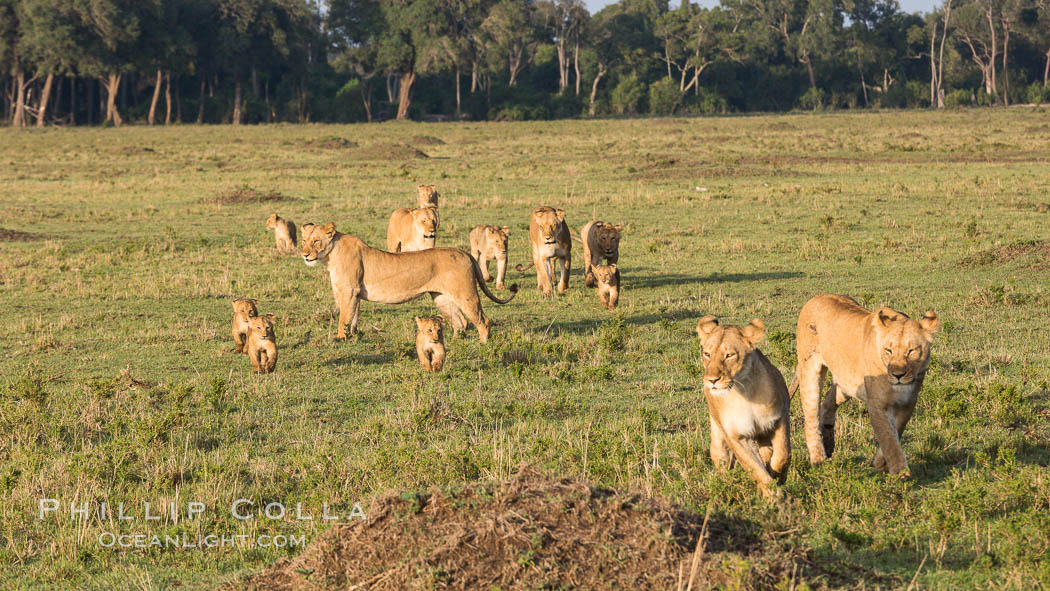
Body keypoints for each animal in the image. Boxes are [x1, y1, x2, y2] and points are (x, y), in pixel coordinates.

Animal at [302, 222, 518, 342]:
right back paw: (450, 343)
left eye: (316, 241)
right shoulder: (352, 294)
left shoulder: (349, 291)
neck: (329, 257)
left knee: (482, 320)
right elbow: (353, 317)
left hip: (466, 294)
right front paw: (352, 337)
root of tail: (463, 252)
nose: (304, 254)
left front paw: (341, 339)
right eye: (303, 241)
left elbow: (344, 318)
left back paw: (483, 343)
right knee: (461, 322)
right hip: (441, 298)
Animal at [697, 317, 789, 497]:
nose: (712, 380)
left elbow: (783, 454)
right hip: (718, 440)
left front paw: (778, 476)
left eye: (729, 355)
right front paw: (773, 496)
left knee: (768, 451)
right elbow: (756, 470)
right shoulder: (736, 437)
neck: (744, 392)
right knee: (722, 461)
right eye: (707, 354)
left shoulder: (779, 417)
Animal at [789, 293, 940, 478]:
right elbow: (888, 437)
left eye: (912, 351)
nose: (898, 375)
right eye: (888, 350)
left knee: (827, 403)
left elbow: (897, 430)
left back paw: (829, 443)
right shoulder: (877, 404)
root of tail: (815, 297)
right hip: (810, 370)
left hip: (847, 383)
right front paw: (900, 472)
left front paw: (879, 463)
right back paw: (818, 459)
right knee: (811, 416)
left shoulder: (908, 402)